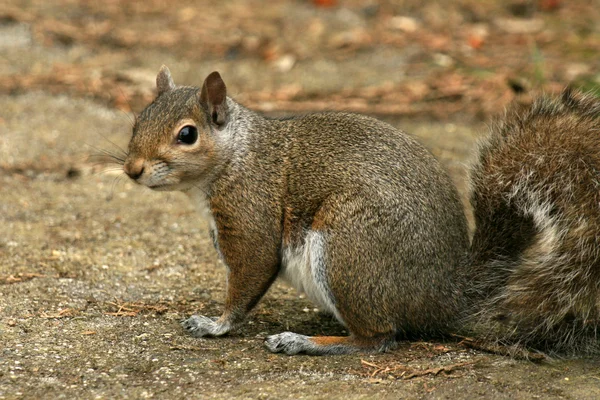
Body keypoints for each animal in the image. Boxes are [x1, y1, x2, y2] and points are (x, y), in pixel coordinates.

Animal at [122, 65, 600, 356]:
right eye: (137, 120)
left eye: (187, 134)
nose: (132, 169)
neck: (236, 155)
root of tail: (444, 296)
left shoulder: (250, 212)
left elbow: (250, 275)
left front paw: (215, 324)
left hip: (348, 248)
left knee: (376, 338)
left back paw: (305, 341)